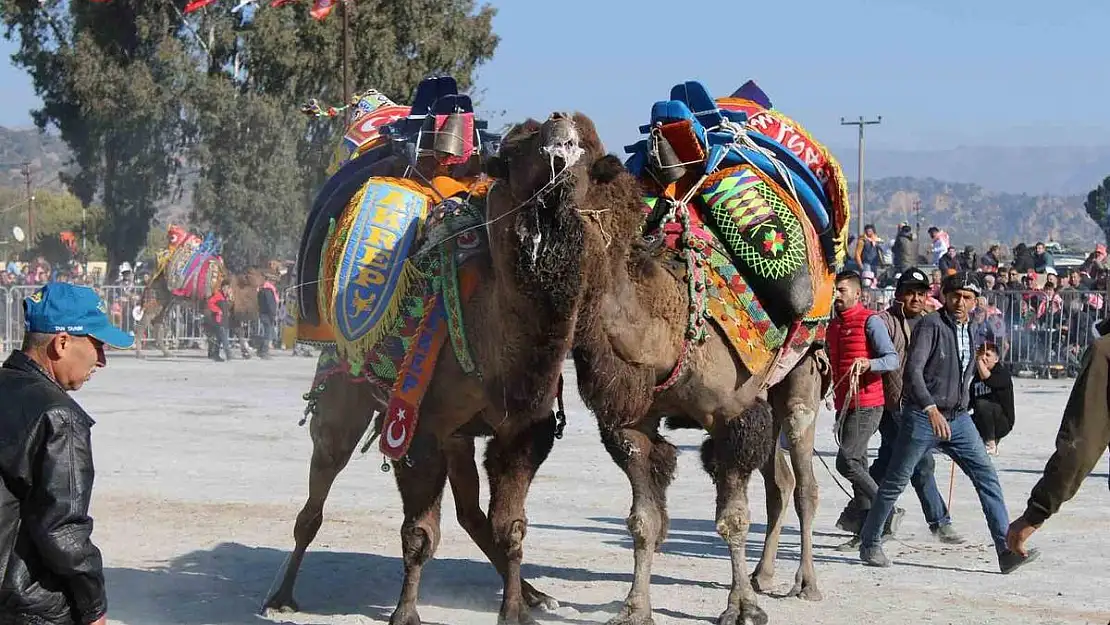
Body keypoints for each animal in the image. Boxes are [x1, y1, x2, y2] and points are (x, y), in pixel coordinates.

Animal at [481, 112, 834, 625]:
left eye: (587, 147)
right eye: (513, 150)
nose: (556, 120)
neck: (665, 327)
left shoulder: (733, 414)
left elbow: (733, 519)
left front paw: (741, 608)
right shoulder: (631, 425)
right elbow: (643, 521)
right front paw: (634, 607)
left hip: (801, 374)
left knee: (804, 482)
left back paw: (804, 583)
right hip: (765, 396)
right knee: (781, 483)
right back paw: (764, 574)